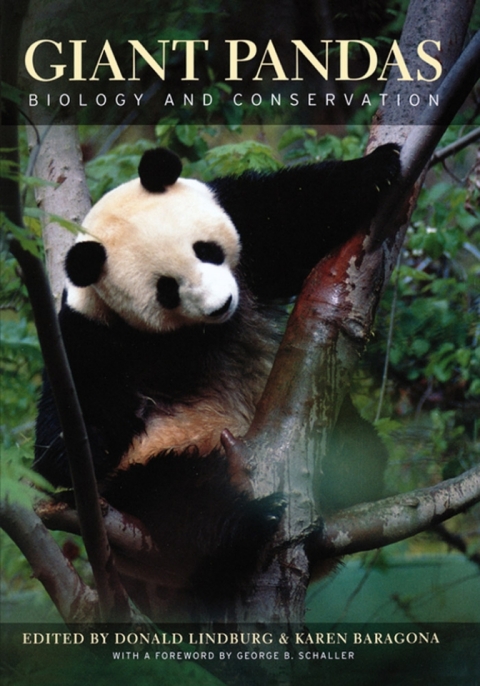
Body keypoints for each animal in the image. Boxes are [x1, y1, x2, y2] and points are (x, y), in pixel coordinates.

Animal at [34, 144, 400, 619]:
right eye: (166, 289)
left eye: (205, 251)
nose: (221, 304)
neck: (192, 334)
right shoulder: (90, 336)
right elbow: (64, 434)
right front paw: (76, 448)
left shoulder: (245, 224)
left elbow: (296, 210)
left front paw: (379, 167)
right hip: (158, 472)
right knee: (176, 498)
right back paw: (247, 524)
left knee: (357, 443)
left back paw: (346, 475)